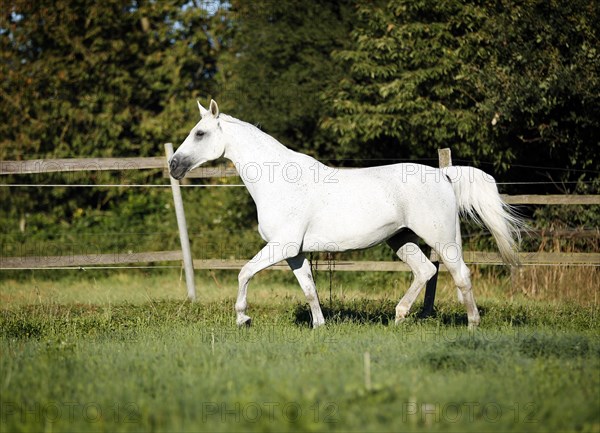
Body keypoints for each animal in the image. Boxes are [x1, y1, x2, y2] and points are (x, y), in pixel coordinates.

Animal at [168, 98, 520, 328]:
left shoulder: (281, 247)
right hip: (401, 239)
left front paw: (243, 317)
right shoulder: (294, 253)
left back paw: (472, 324)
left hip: (442, 238)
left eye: (200, 133)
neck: (281, 182)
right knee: (424, 271)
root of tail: (443, 175)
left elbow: (244, 272)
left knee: (460, 275)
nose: (173, 165)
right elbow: (309, 289)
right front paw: (320, 326)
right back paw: (398, 318)